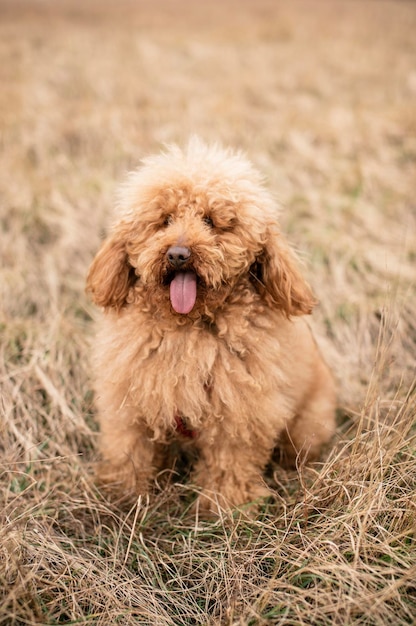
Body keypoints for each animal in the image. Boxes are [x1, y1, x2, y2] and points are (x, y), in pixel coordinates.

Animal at [86, 139, 336, 516]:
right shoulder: (132, 401)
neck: (187, 330)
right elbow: (129, 449)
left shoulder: (239, 412)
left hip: (309, 422)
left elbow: (229, 463)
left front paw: (227, 507)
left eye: (211, 221)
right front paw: (123, 493)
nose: (178, 254)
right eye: (164, 220)